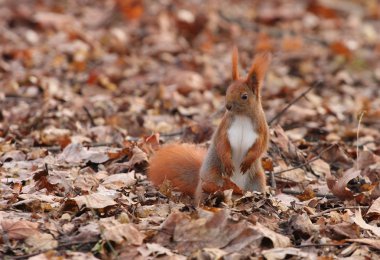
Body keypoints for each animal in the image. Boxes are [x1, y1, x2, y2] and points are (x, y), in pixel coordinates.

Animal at [148, 46, 270, 201]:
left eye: (244, 96)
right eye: (227, 91)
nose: (228, 106)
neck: (242, 117)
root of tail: (236, 190)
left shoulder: (261, 129)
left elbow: (261, 146)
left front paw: (249, 159)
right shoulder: (224, 128)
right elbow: (222, 143)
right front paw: (228, 162)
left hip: (257, 179)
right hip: (212, 176)